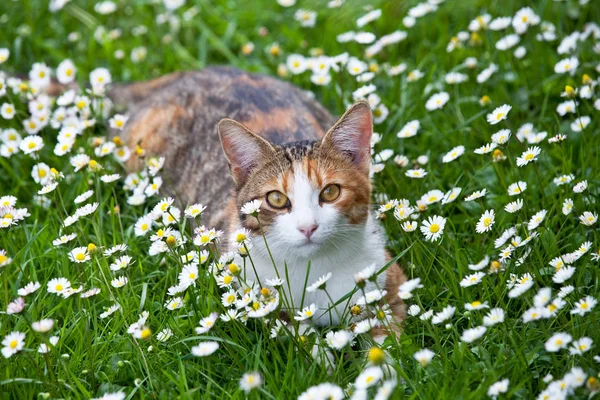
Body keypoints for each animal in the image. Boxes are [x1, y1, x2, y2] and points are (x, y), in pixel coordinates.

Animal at [108, 68, 408, 334]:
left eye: (330, 192)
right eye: (276, 198)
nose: (308, 227)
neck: (314, 272)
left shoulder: (389, 282)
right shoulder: (258, 295)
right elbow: (299, 334)